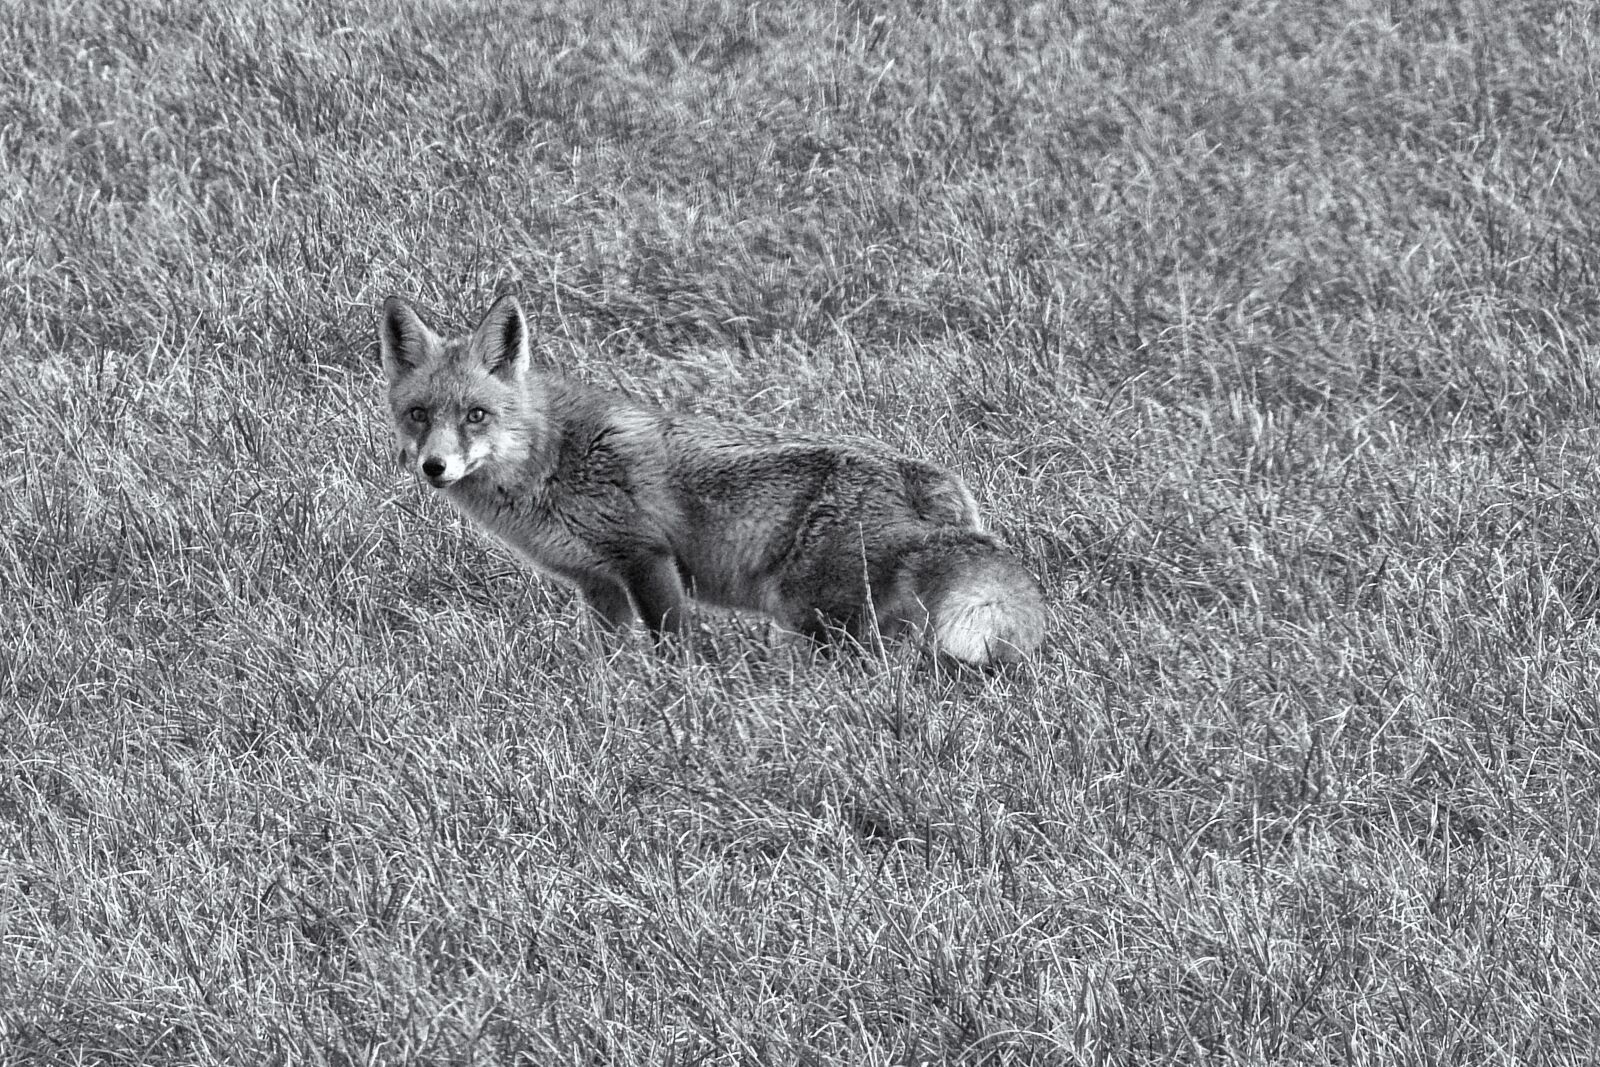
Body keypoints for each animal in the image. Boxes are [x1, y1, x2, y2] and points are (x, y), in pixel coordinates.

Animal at [379, 293, 1047, 667]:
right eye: (419, 414)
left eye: (475, 415)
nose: (434, 467)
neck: (551, 458)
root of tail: (930, 480)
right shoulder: (598, 583)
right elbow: (610, 662)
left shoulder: (646, 559)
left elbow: (674, 651)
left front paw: (677, 705)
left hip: (812, 616)